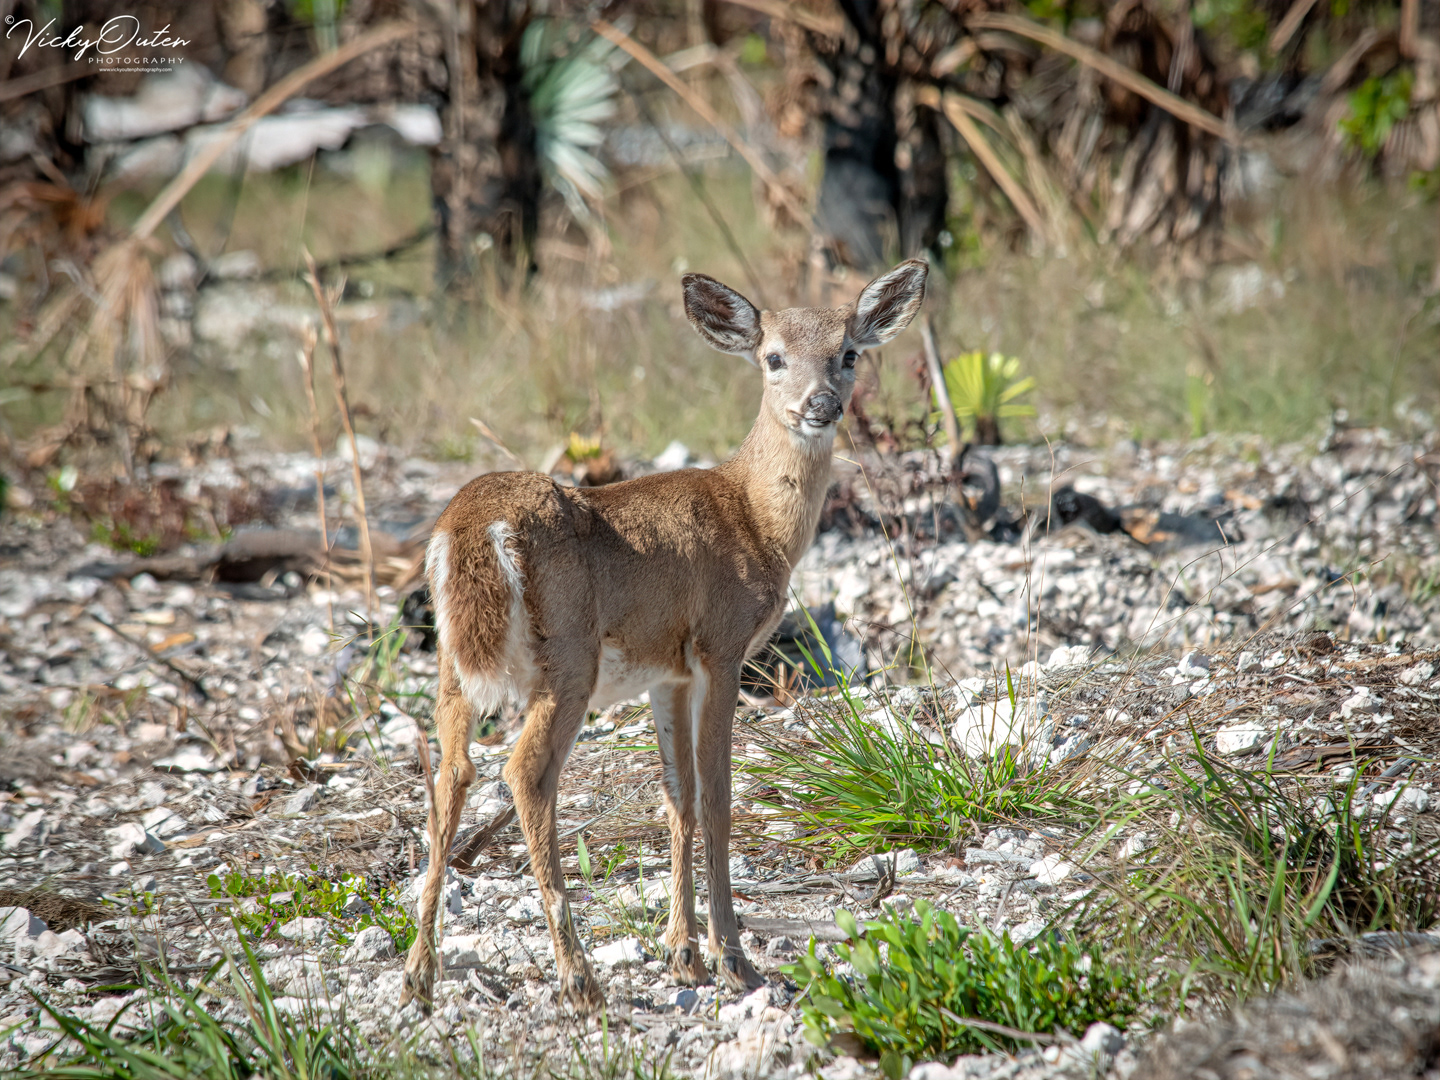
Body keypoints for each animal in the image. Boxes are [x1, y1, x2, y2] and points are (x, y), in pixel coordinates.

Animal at [400, 258, 929, 1013]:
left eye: (849, 353)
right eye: (773, 357)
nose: (821, 404)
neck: (755, 519)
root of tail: (469, 527)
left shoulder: (666, 671)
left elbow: (676, 798)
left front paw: (682, 955)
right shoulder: (721, 646)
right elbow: (716, 796)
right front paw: (732, 958)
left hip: (452, 663)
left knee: (449, 773)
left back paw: (419, 972)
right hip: (569, 657)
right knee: (524, 773)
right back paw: (577, 975)